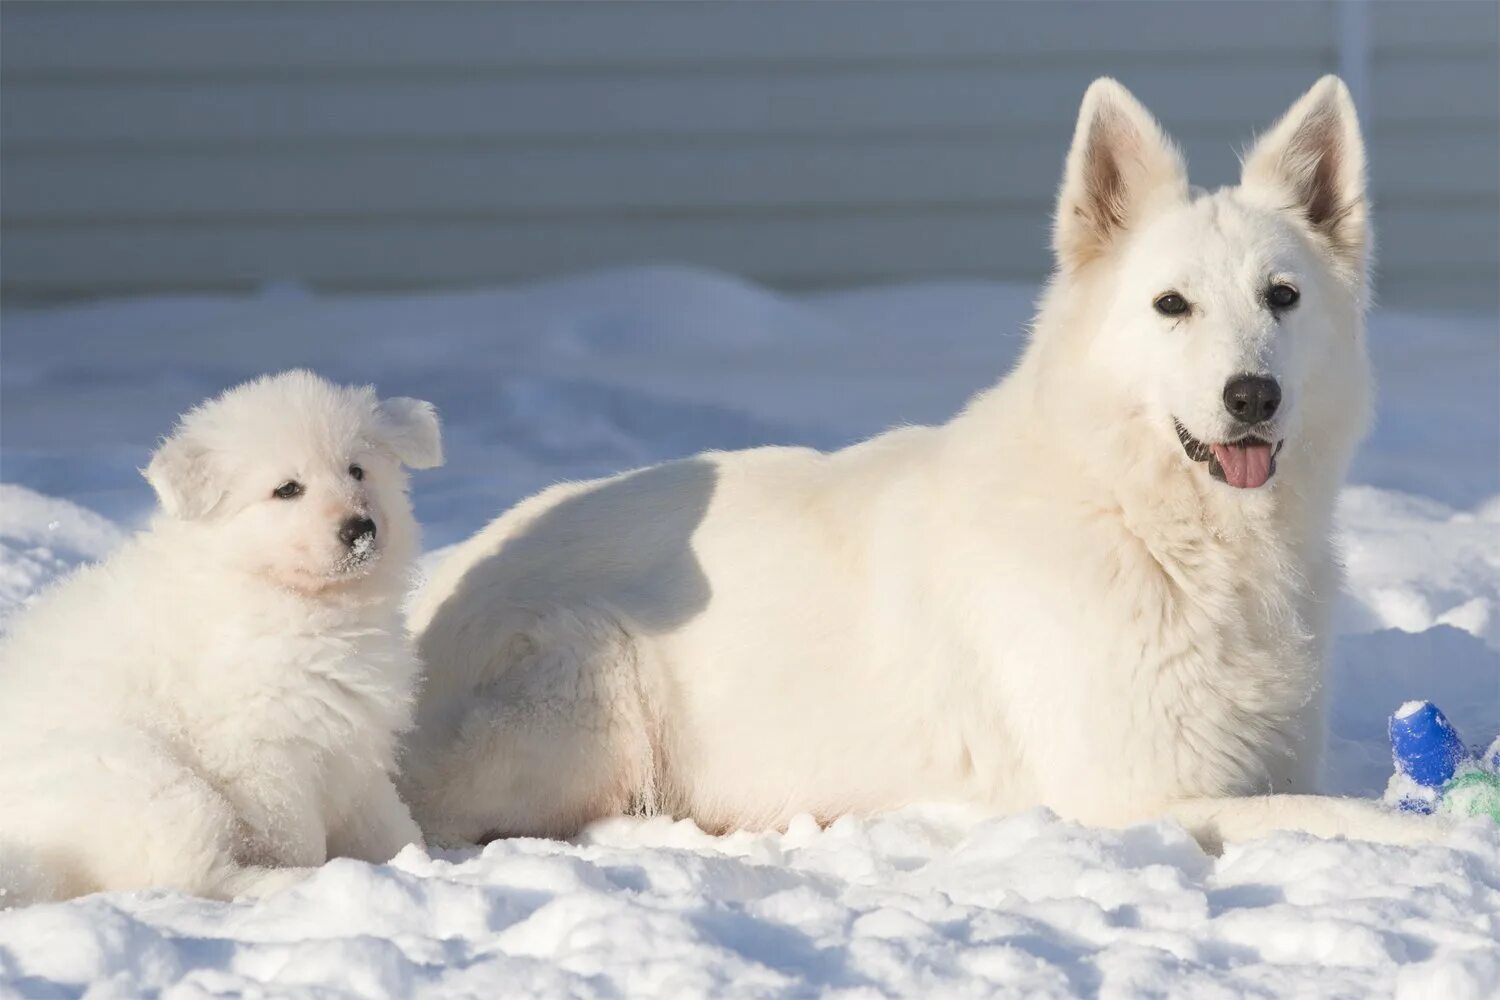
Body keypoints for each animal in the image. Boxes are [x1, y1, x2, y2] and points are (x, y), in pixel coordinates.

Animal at [0, 371, 441, 905]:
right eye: (287, 489)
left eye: (358, 471)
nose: (360, 530)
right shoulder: (263, 751)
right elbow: (296, 836)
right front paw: (324, 874)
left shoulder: (352, 741)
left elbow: (384, 819)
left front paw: (421, 862)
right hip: (148, 782)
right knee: (187, 873)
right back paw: (284, 884)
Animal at [402, 78, 1452, 851]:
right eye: (1171, 306)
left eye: (1282, 296)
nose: (1252, 397)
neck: (1150, 528)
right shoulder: (1135, 801)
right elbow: (1348, 818)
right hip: (602, 689)